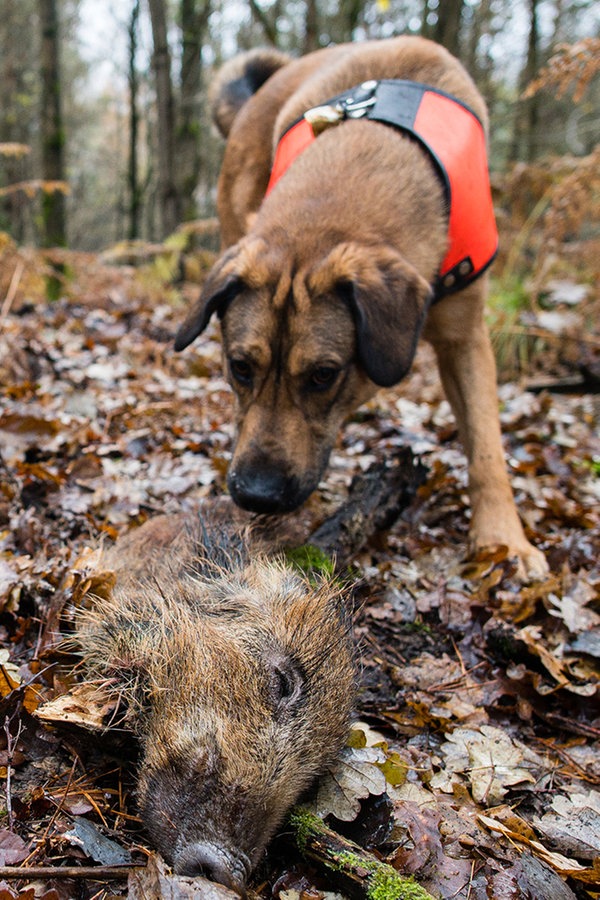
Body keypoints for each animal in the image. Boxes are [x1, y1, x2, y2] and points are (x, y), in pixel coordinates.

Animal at [175, 35, 548, 580]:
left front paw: (503, 540)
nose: (256, 496)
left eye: (323, 375)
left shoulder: (465, 337)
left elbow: (486, 447)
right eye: (240, 367)